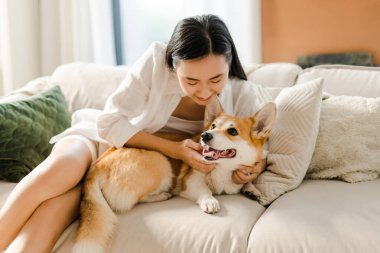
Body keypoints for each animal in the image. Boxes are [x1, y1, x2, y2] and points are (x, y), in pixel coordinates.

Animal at [73, 99, 276, 253]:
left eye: (232, 131)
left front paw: (254, 192)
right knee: (133, 201)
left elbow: (246, 184)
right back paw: (163, 195)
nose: (205, 135)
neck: (224, 169)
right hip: (161, 162)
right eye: (213, 126)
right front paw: (210, 201)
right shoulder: (191, 181)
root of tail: (96, 167)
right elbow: (205, 190)